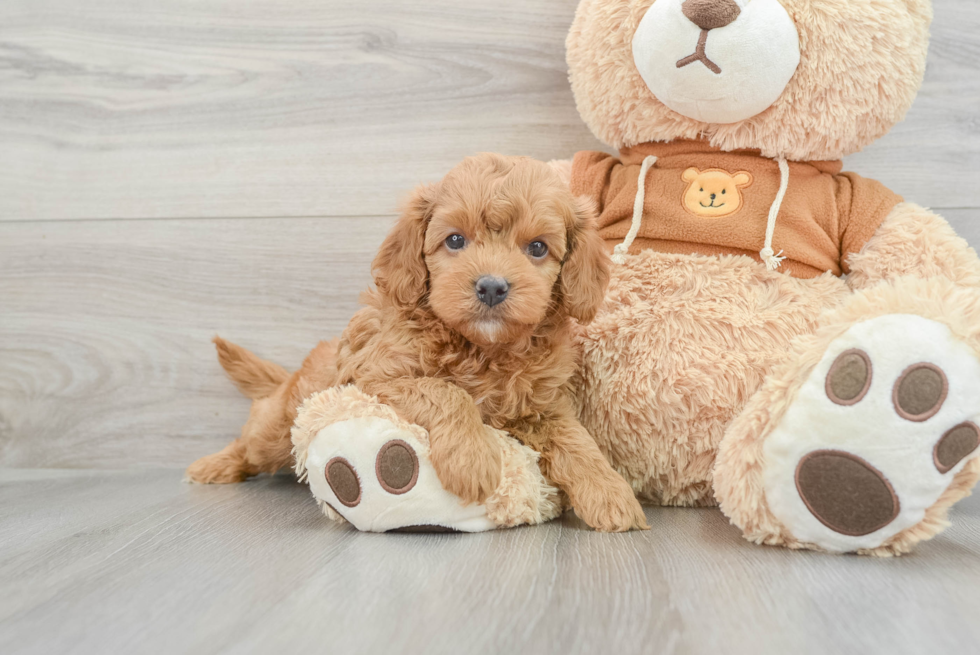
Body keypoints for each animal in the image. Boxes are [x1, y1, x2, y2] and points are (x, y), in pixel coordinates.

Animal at [189, 154, 652, 532]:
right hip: (278, 427)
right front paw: (472, 459)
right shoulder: (375, 377)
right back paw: (212, 466)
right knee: (252, 441)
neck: (481, 349)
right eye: (455, 240)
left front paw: (611, 493)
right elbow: (446, 391)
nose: (491, 287)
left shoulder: (540, 406)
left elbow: (578, 441)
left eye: (537, 248)